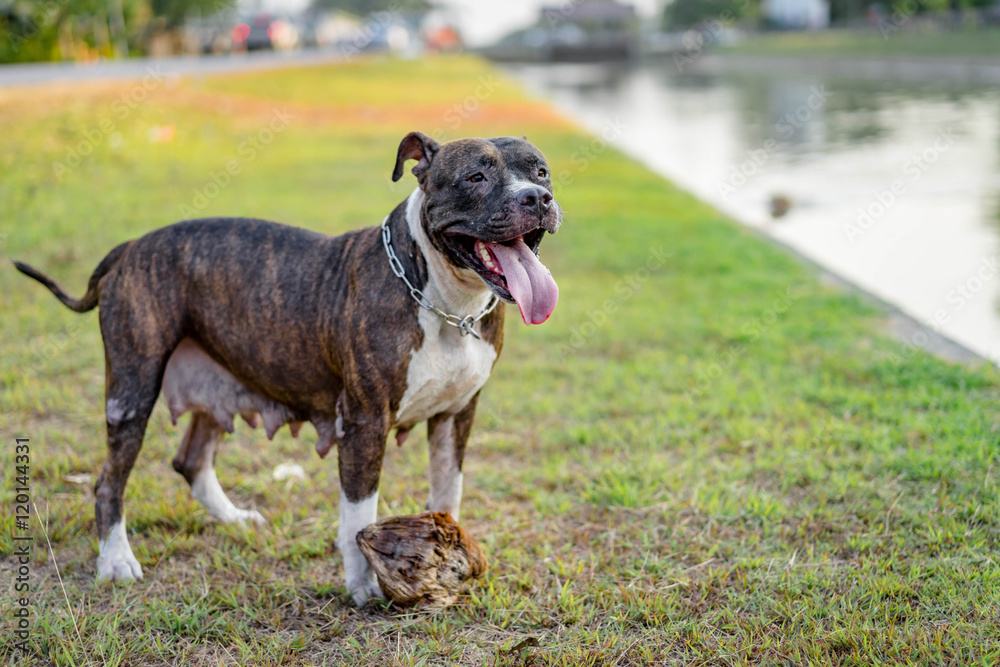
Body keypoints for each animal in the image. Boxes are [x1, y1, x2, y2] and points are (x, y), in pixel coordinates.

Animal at [15, 130, 560, 604]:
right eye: (475, 177)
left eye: (541, 171)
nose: (537, 198)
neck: (447, 304)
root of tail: (129, 248)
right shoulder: (364, 422)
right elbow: (359, 516)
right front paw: (363, 586)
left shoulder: (455, 415)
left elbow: (448, 492)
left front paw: (449, 551)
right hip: (132, 389)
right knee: (110, 480)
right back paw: (116, 560)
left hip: (215, 377)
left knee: (191, 460)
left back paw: (233, 519)